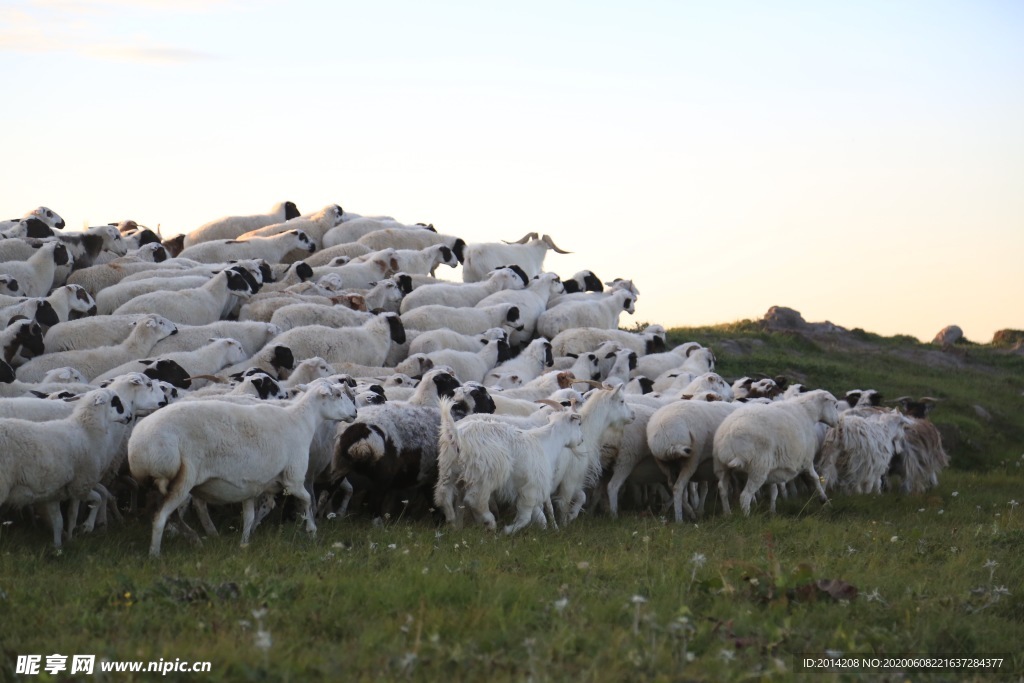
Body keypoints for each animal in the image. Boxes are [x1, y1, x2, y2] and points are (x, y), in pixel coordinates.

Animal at [130, 378, 358, 557]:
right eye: (338, 394)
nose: (355, 412)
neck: (301, 421)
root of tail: (138, 445)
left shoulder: (251, 486)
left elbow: (249, 517)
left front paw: (244, 543)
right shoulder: (293, 478)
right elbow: (307, 500)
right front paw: (312, 530)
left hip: (154, 486)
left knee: (169, 515)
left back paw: (196, 539)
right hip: (182, 479)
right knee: (161, 518)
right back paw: (155, 554)